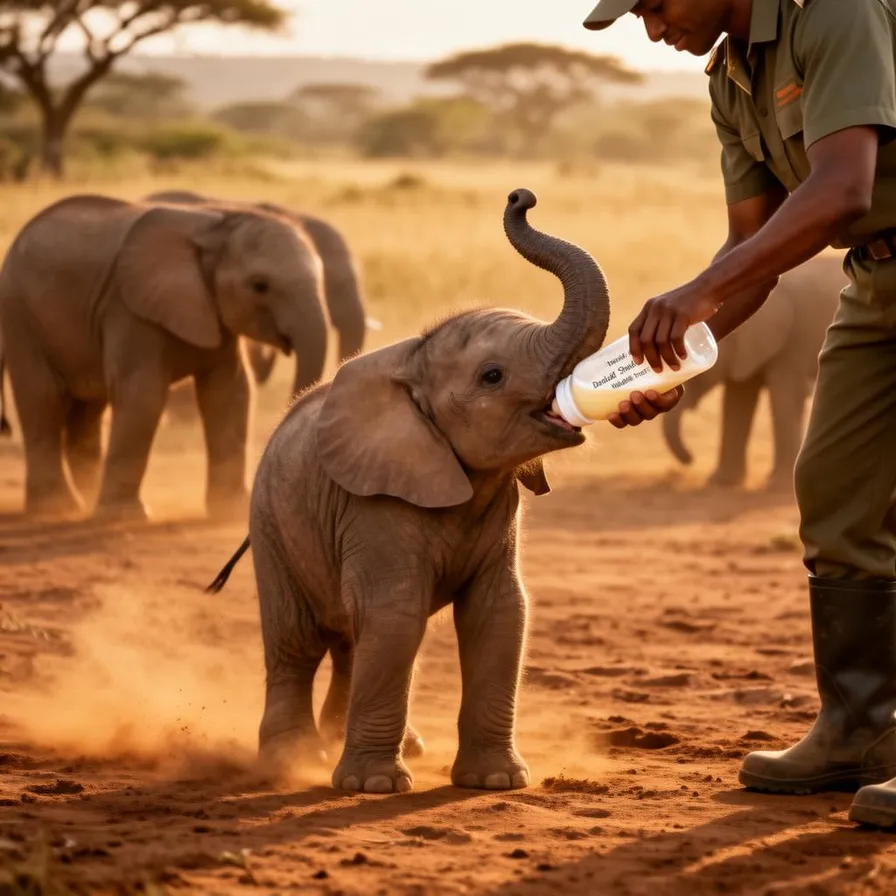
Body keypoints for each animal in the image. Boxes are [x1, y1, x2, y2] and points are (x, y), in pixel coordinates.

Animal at [0, 193, 327, 521]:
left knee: (88, 408)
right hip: (20, 315)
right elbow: (143, 393)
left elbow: (229, 393)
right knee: (43, 397)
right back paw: (58, 508)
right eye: (260, 286)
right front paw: (125, 516)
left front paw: (230, 511)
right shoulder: (129, 310)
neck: (217, 225)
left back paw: (86, 498)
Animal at [207, 187, 612, 795]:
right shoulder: (375, 504)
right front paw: (374, 787)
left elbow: (500, 612)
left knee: (353, 637)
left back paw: (387, 745)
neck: (414, 362)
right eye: (492, 376)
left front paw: (497, 781)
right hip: (272, 525)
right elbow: (396, 613)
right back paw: (292, 759)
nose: (521, 195)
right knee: (298, 641)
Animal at [661, 252, 847, 489]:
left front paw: (776, 485)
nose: (689, 460)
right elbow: (738, 401)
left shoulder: (791, 343)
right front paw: (721, 482)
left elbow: (784, 397)